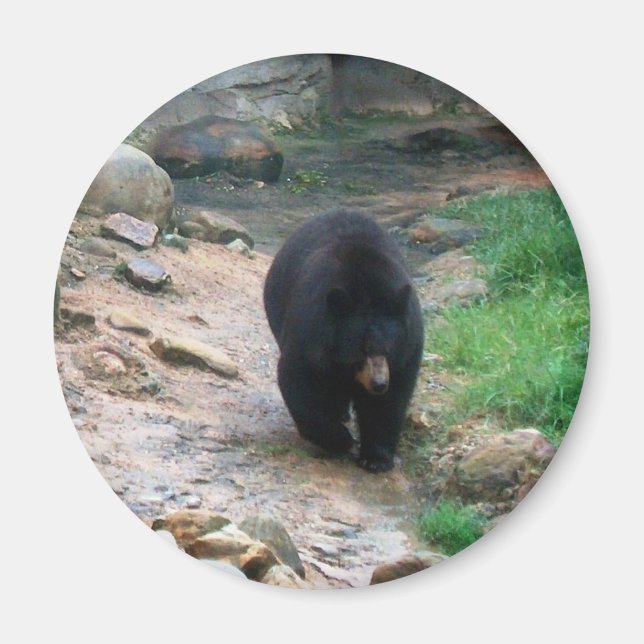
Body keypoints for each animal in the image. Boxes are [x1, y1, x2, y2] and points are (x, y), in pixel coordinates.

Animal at [263, 209, 424, 472]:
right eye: (360, 351)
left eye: (388, 350)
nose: (379, 384)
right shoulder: (311, 332)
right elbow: (299, 380)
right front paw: (341, 440)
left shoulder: (408, 347)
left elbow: (391, 401)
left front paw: (376, 458)